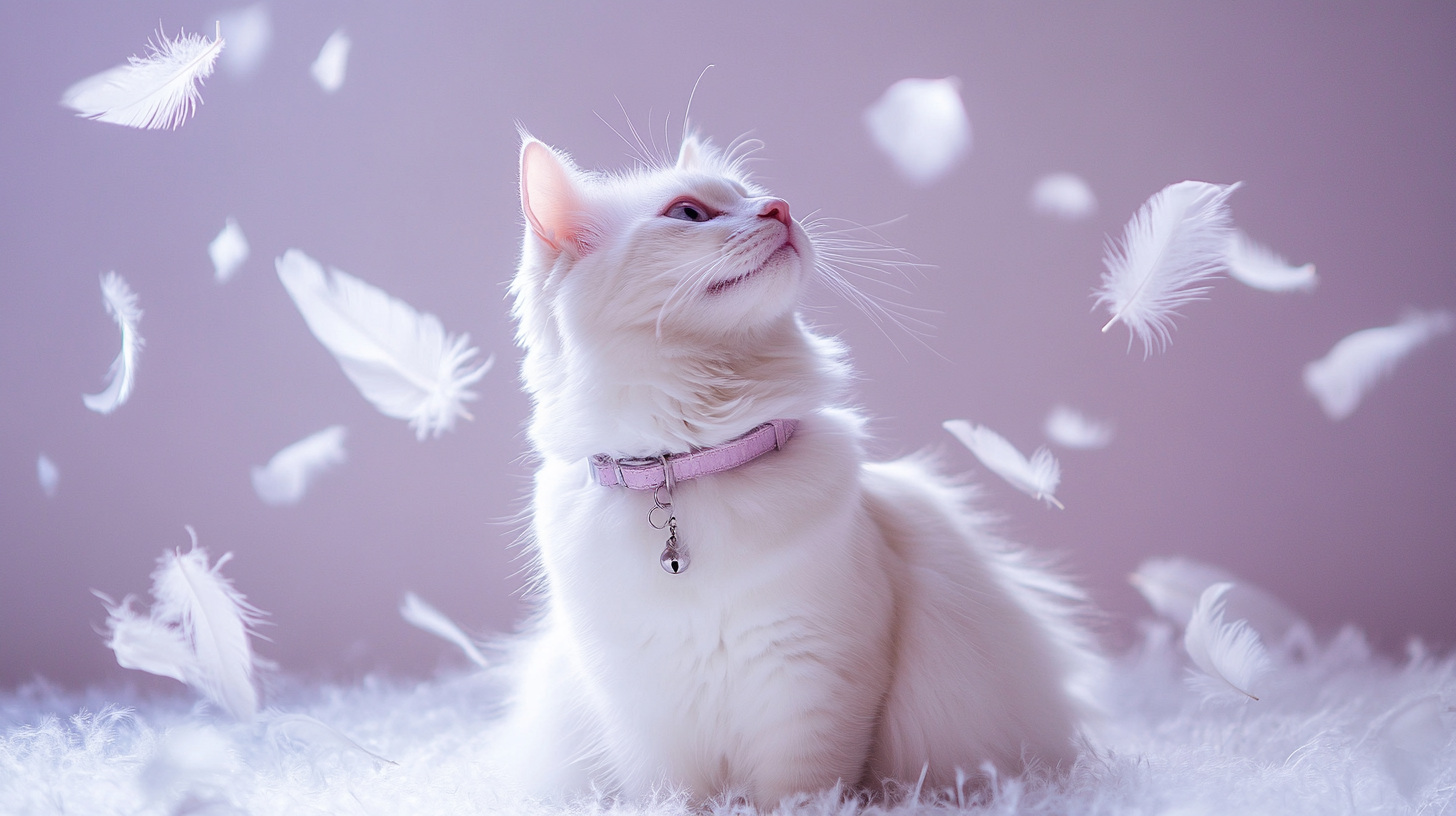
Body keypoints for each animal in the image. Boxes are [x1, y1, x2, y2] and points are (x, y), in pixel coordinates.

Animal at [495, 132, 1094, 804]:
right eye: (688, 213)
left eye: (753, 194)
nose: (779, 207)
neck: (690, 467)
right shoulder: (647, 716)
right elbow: (676, 799)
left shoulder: (814, 684)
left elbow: (798, 796)